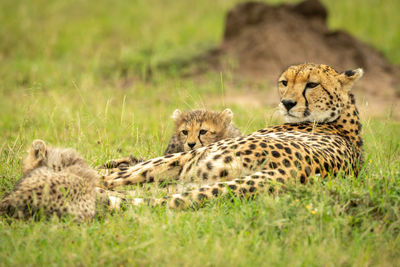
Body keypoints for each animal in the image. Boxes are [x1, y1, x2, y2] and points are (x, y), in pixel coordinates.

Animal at [101, 63, 364, 209]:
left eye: (312, 84)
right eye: (284, 82)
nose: (287, 103)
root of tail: (289, 171)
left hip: (193, 160)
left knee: (112, 180)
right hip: (188, 182)